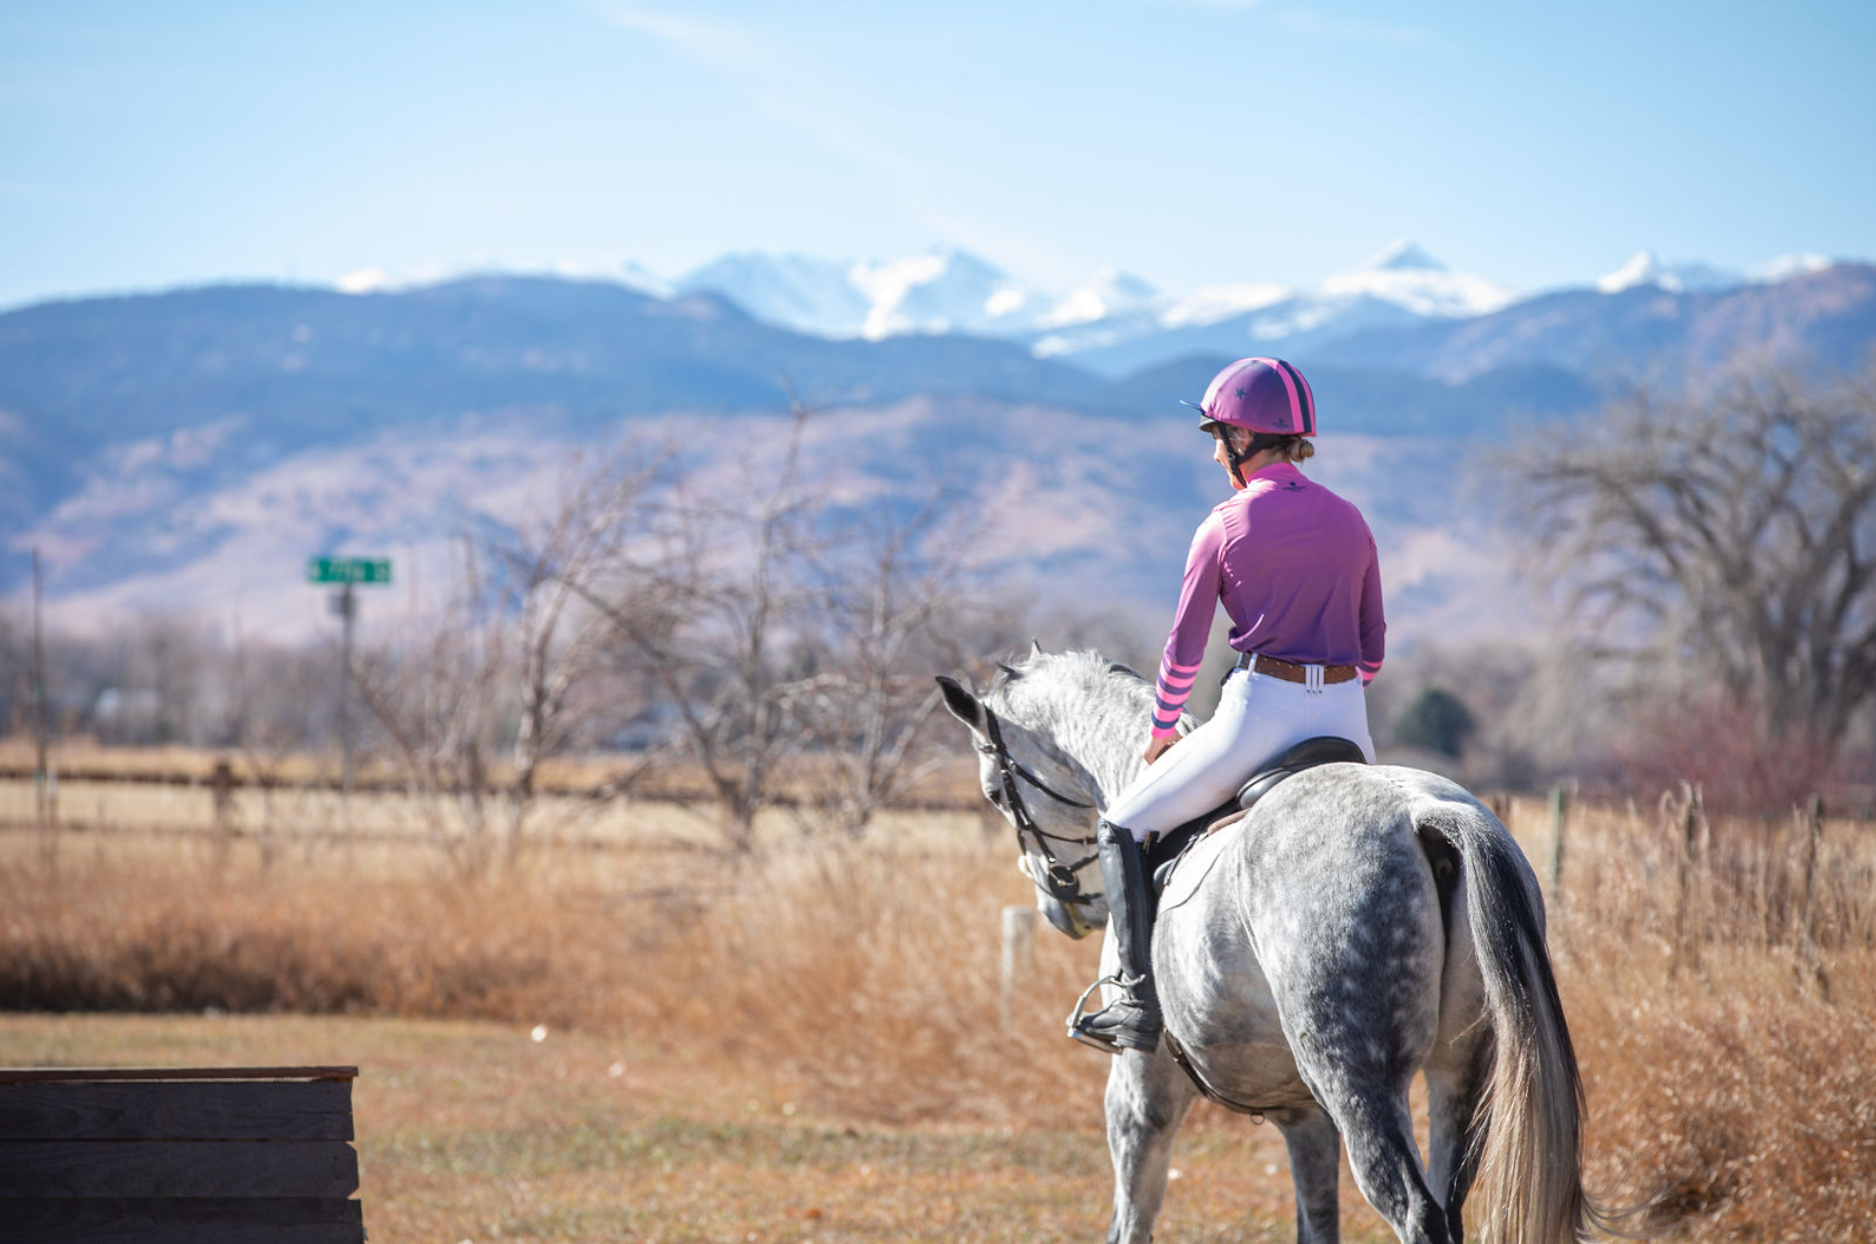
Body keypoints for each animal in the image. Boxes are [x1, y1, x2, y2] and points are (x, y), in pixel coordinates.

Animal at [938, 645, 1598, 1244]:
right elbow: (1317, 1225)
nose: (1061, 907)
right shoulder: (1303, 1113)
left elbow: (1131, 1222)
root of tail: (1424, 815)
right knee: (1448, 1201)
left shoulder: (1141, 1091)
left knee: (1415, 1211)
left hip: (1356, 1078)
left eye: (994, 793)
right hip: (1460, 1074)